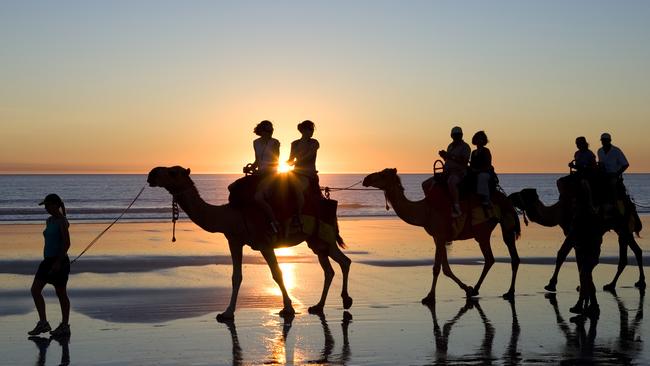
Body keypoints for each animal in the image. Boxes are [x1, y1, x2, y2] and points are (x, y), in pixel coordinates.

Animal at [146, 166, 352, 320]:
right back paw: (318, 306)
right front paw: (226, 313)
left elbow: (277, 274)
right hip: (316, 241)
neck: (231, 216)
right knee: (330, 269)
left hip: (325, 235)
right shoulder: (234, 241)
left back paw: (345, 300)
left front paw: (288, 309)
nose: (151, 174)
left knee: (344, 261)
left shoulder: (264, 242)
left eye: (173, 172)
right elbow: (236, 277)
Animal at [362, 169, 520, 304]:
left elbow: (437, 267)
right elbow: (445, 268)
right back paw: (486, 290)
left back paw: (502, 291)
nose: (365, 179)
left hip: (498, 225)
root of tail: (507, 199)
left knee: (497, 257)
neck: (425, 211)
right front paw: (466, 289)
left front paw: (430, 297)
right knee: (499, 258)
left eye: (382, 174)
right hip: (490, 229)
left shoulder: (440, 235)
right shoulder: (438, 237)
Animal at [508, 187, 640, 290]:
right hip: (621, 228)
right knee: (634, 250)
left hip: (622, 226)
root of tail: (630, 203)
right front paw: (581, 285)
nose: (510, 196)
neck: (558, 212)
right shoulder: (574, 234)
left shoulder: (573, 231)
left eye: (522, 193)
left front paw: (551, 284)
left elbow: (562, 254)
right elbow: (579, 257)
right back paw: (620, 284)